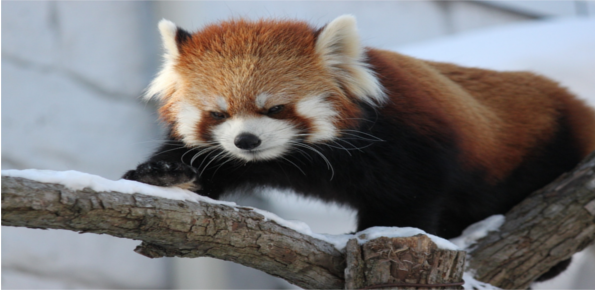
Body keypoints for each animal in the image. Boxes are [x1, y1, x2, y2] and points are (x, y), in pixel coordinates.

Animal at [123, 15, 592, 244]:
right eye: (218, 114)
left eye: (276, 108)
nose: (246, 140)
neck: (297, 156)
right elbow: (200, 163)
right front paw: (161, 175)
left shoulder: (409, 143)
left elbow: (409, 197)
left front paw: (385, 230)